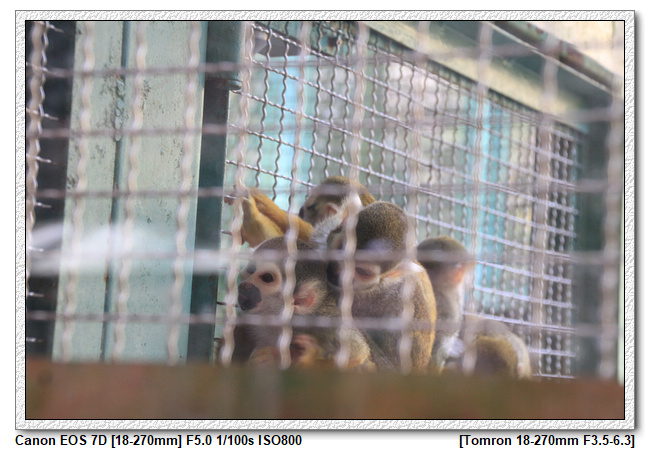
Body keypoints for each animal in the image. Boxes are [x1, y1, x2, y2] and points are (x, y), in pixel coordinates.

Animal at [230, 236, 376, 371]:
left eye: (267, 278)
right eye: (251, 269)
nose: (245, 285)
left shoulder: (322, 323)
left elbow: (356, 352)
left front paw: (292, 358)